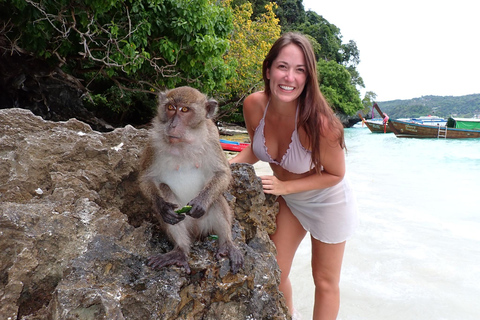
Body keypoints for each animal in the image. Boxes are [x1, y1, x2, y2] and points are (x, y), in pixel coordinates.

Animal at [139, 86, 244, 274]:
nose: (173, 124)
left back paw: (227, 244)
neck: (183, 142)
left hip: (204, 223)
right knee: (164, 189)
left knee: (217, 198)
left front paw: (201, 202)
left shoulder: (212, 136)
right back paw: (180, 251)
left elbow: (222, 173)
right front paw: (163, 207)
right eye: (171, 107)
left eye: (184, 110)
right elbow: (146, 179)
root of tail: (195, 231)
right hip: (184, 222)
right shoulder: (153, 140)